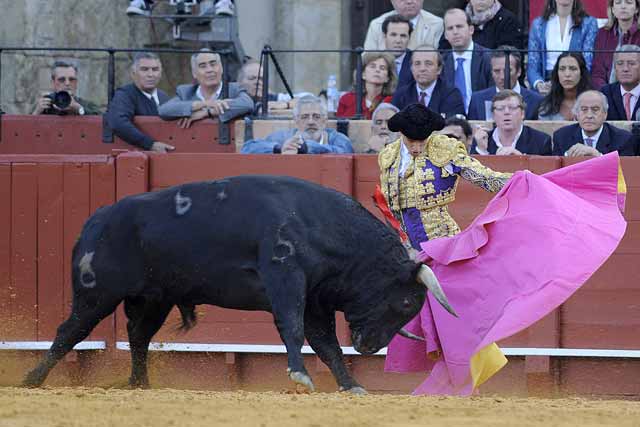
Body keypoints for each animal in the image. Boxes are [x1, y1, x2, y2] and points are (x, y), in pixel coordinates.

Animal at [23, 175, 456, 394]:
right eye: (406, 303)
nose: (369, 348)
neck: (321, 225)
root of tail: (95, 219)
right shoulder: (286, 279)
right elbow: (292, 329)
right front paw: (300, 376)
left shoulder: (315, 300)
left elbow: (327, 345)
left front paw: (351, 386)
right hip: (97, 293)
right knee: (69, 331)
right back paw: (32, 379)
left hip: (154, 298)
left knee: (138, 336)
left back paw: (139, 384)